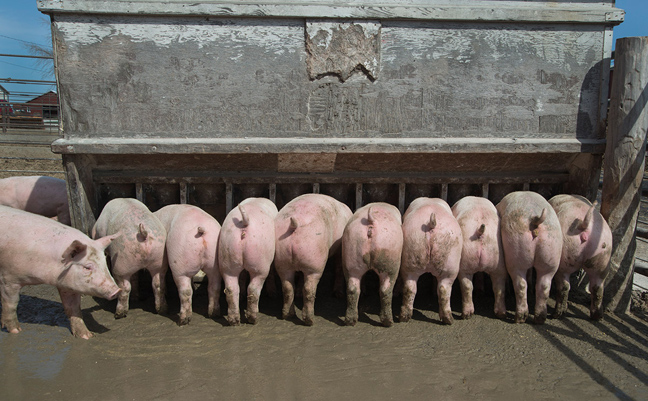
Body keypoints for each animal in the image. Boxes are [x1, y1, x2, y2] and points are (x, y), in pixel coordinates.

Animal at [0, 203, 121, 338]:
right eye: (87, 267)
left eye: (105, 261)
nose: (117, 290)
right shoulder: (9, 278)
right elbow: (11, 304)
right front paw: (15, 331)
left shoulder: (67, 284)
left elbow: (73, 308)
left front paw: (86, 336)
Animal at [274, 191, 354, 324]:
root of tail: (294, 225)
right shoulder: (339, 249)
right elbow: (338, 268)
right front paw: (338, 294)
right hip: (315, 263)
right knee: (309, 289)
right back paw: (310, 320)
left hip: (282, 261)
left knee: (287, 287)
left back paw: (287, 315)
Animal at [496, 189, 560, 324]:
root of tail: (535, 219)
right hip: (551, 254)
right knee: (544, 285)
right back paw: (539, 319)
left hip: (516, 251)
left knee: (521, 284)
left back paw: (519, 319)